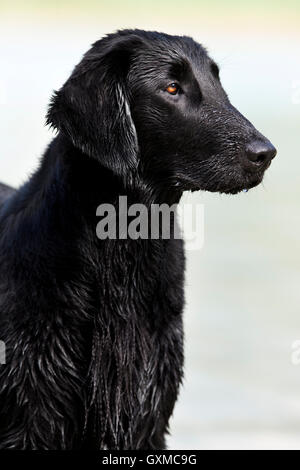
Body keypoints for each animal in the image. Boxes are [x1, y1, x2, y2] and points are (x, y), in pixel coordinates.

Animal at [0, 28, 276, 448]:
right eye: (172, 87)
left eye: (218, 83)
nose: (267, 153)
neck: (123, 253)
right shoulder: (31, 411)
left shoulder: (148, 409)